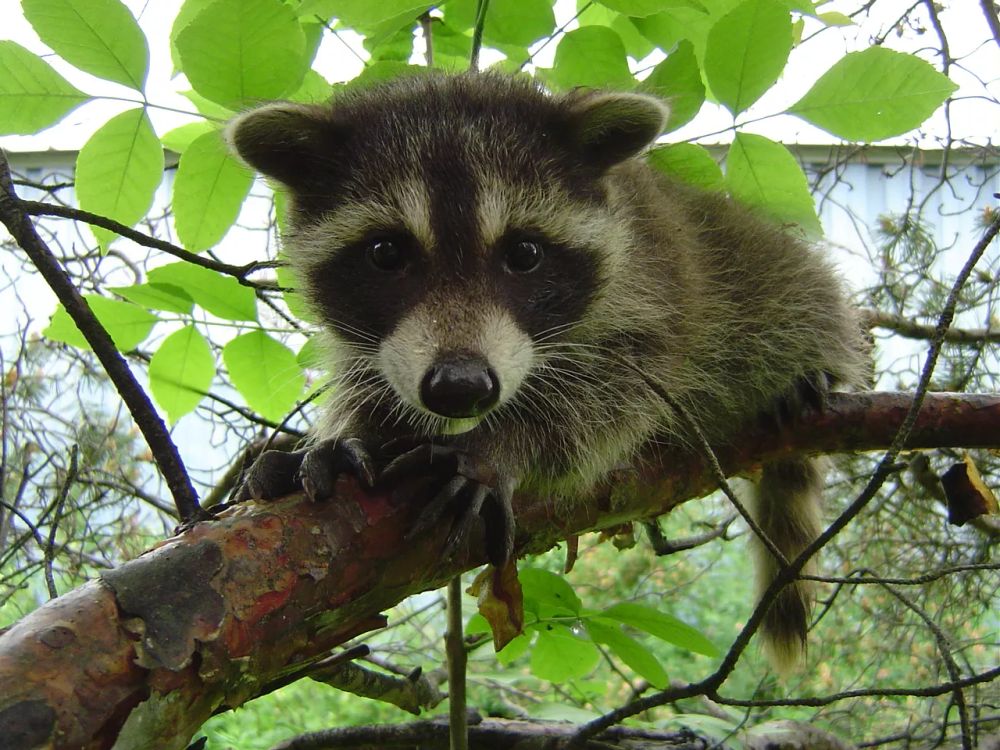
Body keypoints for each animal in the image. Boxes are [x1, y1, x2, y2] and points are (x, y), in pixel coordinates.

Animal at [227, 72, 867, 672]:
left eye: (525, 253)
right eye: (386, 253)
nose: (461, 387)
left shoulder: (658, 287)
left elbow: (615, 395)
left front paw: (505, 443)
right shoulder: (383, 344)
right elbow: (372, 380)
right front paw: (348, 435)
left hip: (760, 266)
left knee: (800, 290)